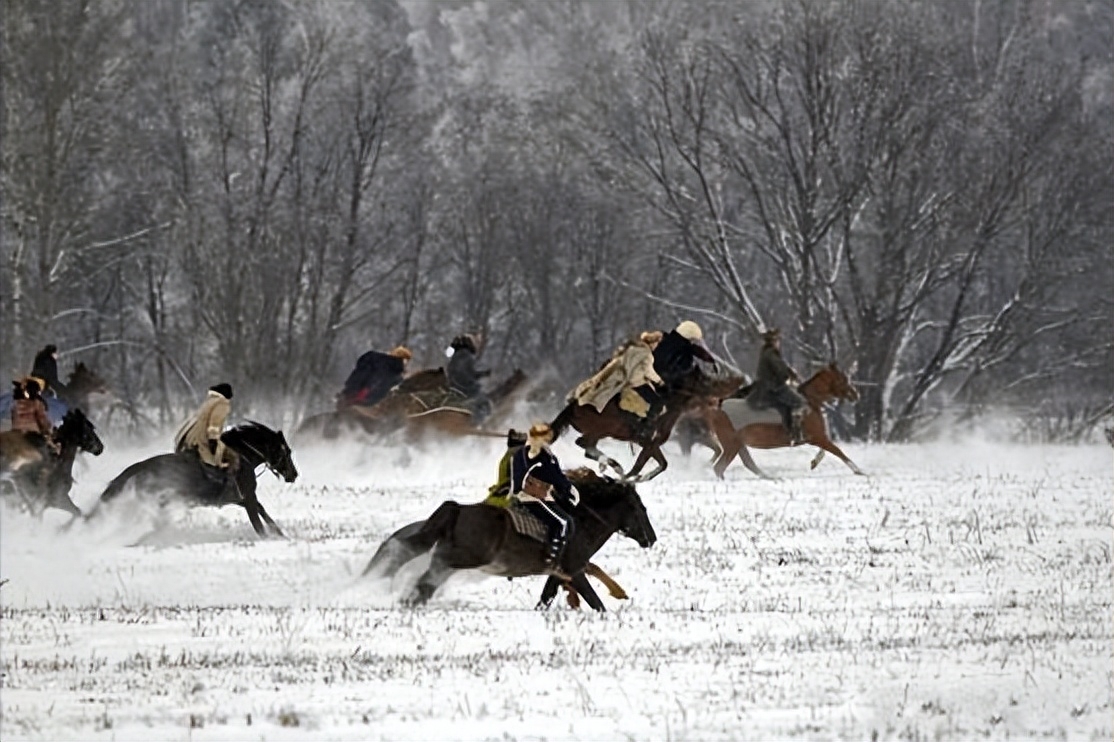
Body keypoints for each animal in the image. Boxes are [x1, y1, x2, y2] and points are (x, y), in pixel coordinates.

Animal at [89, 418, 296, 534]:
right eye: (286, 451)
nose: (294, 474)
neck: (240, 456)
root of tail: (140, 467)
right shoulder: (248, 497)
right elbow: (258, 523)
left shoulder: (242, 498)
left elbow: (263, 513)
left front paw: (280, 534)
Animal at [360, 470, 655, 610]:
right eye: (639, 507)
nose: (651, 539)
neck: (580, 519)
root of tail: (456, 509)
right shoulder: (574, 570)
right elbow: (595, 601)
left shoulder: (558, 573)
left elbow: (546, 599)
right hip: (458, 559)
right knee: (422, 581)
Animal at [545, 367, 744, 483]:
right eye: (705, 380)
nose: (719, 400)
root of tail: (573, 405)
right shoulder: (648, 443)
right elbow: (639, 466)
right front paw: (629, 479)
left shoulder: (651, 444)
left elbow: (662, 464)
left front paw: (640, 477)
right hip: (603, 429)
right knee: (583, 443)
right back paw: (612, 465)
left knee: (587, 448)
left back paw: (613, 464)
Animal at [708, 360, 864, 476]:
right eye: (843, 379)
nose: (856, 395)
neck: (809, 402)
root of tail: (718, 408)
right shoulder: (818, 437)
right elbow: (838, 451)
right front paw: (859, 470)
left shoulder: (817, 437)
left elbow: (825, 450)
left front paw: (814, 463)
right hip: (732, 445)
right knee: (720, 467)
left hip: (738, 445)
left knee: (746, 464)